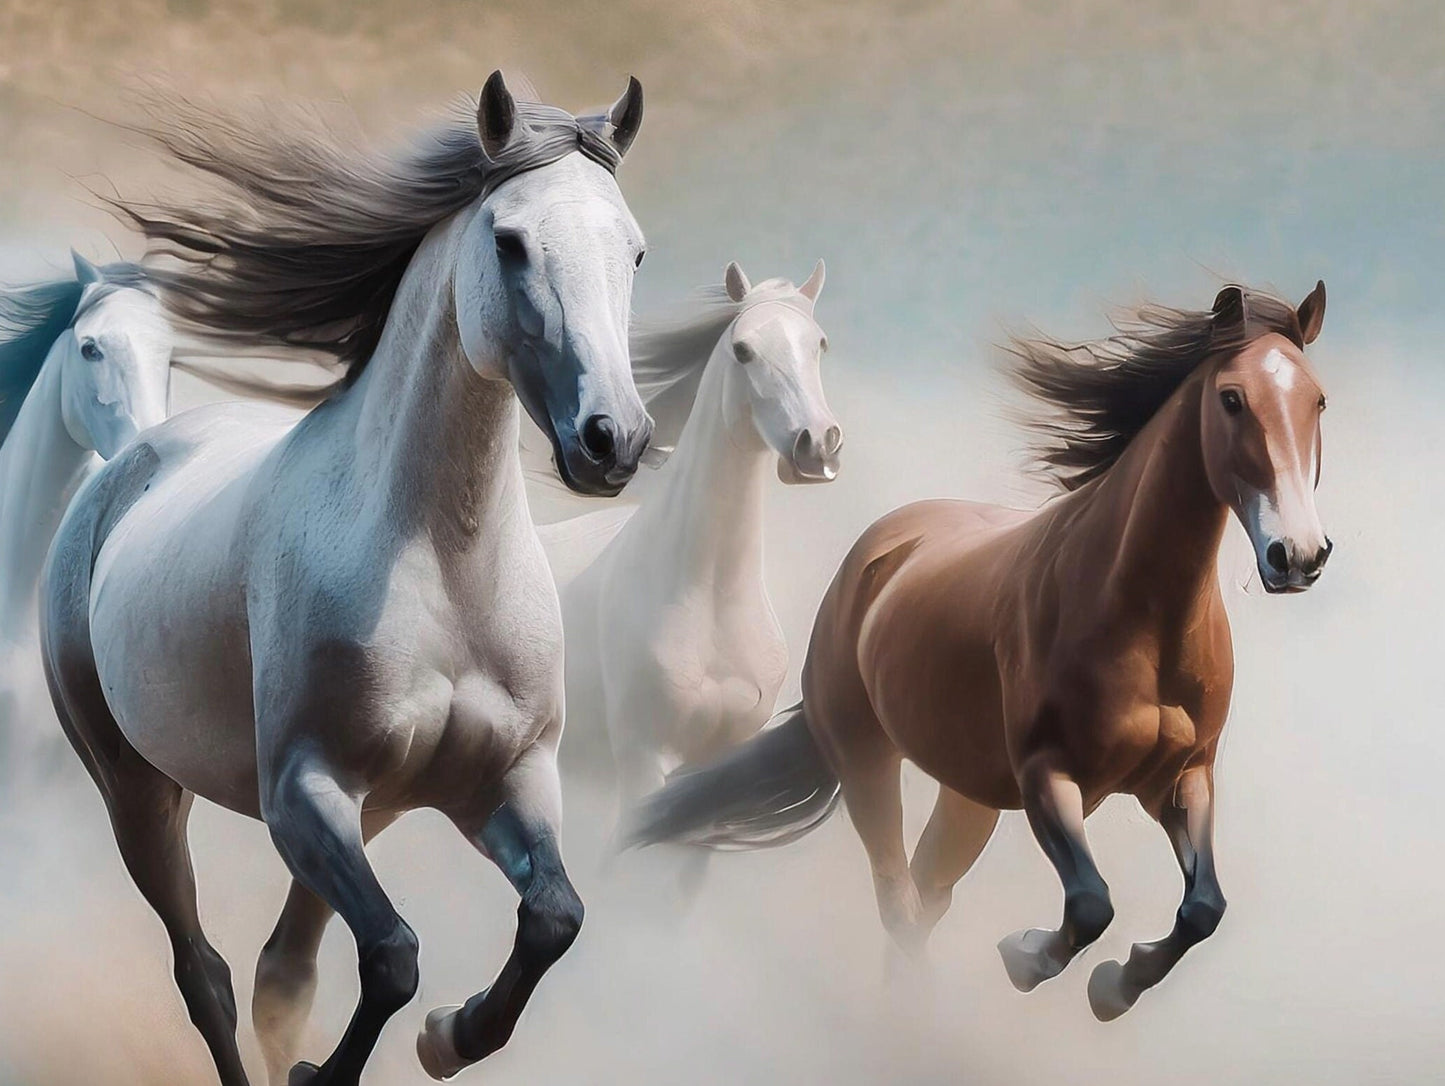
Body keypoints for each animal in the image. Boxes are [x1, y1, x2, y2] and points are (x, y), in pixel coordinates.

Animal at [41, 72, 650, 1086]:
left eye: (634, 250)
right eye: (509, 241)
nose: (614, 440)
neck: (444, 567)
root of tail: (133, 456)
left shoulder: (508, 781)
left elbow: (552, 919)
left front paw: (449, 1038)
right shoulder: (303, 791)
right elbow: (394, 956)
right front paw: (338, 1067)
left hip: (367, 815)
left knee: (279, 969)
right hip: (137, 788)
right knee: (205, 973)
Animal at [629, 282, 1332, 1022]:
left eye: (1316, 400)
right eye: (1231, 398)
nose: (1297, 555)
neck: (1141, 621)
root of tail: (872, 556)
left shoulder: (1183, 777)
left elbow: (1203, 909)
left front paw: (1115, 986)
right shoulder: (1046, 775)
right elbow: (1090, 903)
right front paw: (1025, 957)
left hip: (969, 798)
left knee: (924, 897)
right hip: (867, 761)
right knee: (900, 901)